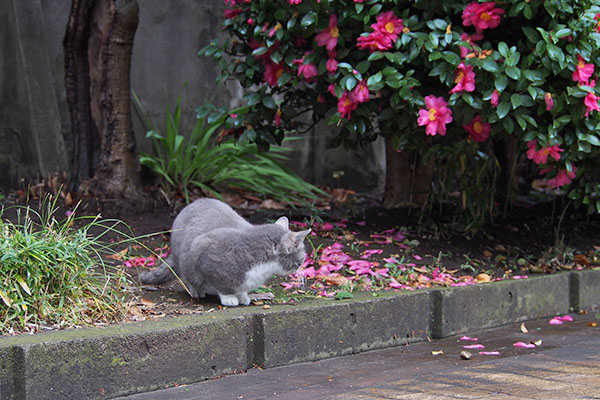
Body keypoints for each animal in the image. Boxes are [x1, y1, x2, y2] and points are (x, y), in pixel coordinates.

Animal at [139, 199, 312, 306]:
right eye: (302, 257)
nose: (301, 267)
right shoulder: (206, 254)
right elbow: (222, 286)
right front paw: (230, 298)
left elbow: (241, 290)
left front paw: (243, 297)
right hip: (184, 258)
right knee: (187, 277)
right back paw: (196, 291)